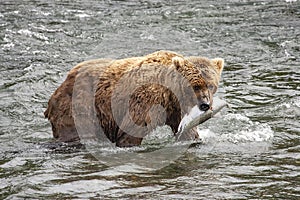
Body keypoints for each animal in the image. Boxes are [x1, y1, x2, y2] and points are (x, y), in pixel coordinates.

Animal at [44, 50, 223, 147]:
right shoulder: (147, 99)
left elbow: (187, 131)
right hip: (80, 105)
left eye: (211, 85)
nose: (205, 104)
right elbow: (131, 129)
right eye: (195, 86)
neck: (170, 92)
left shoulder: (176, 108)